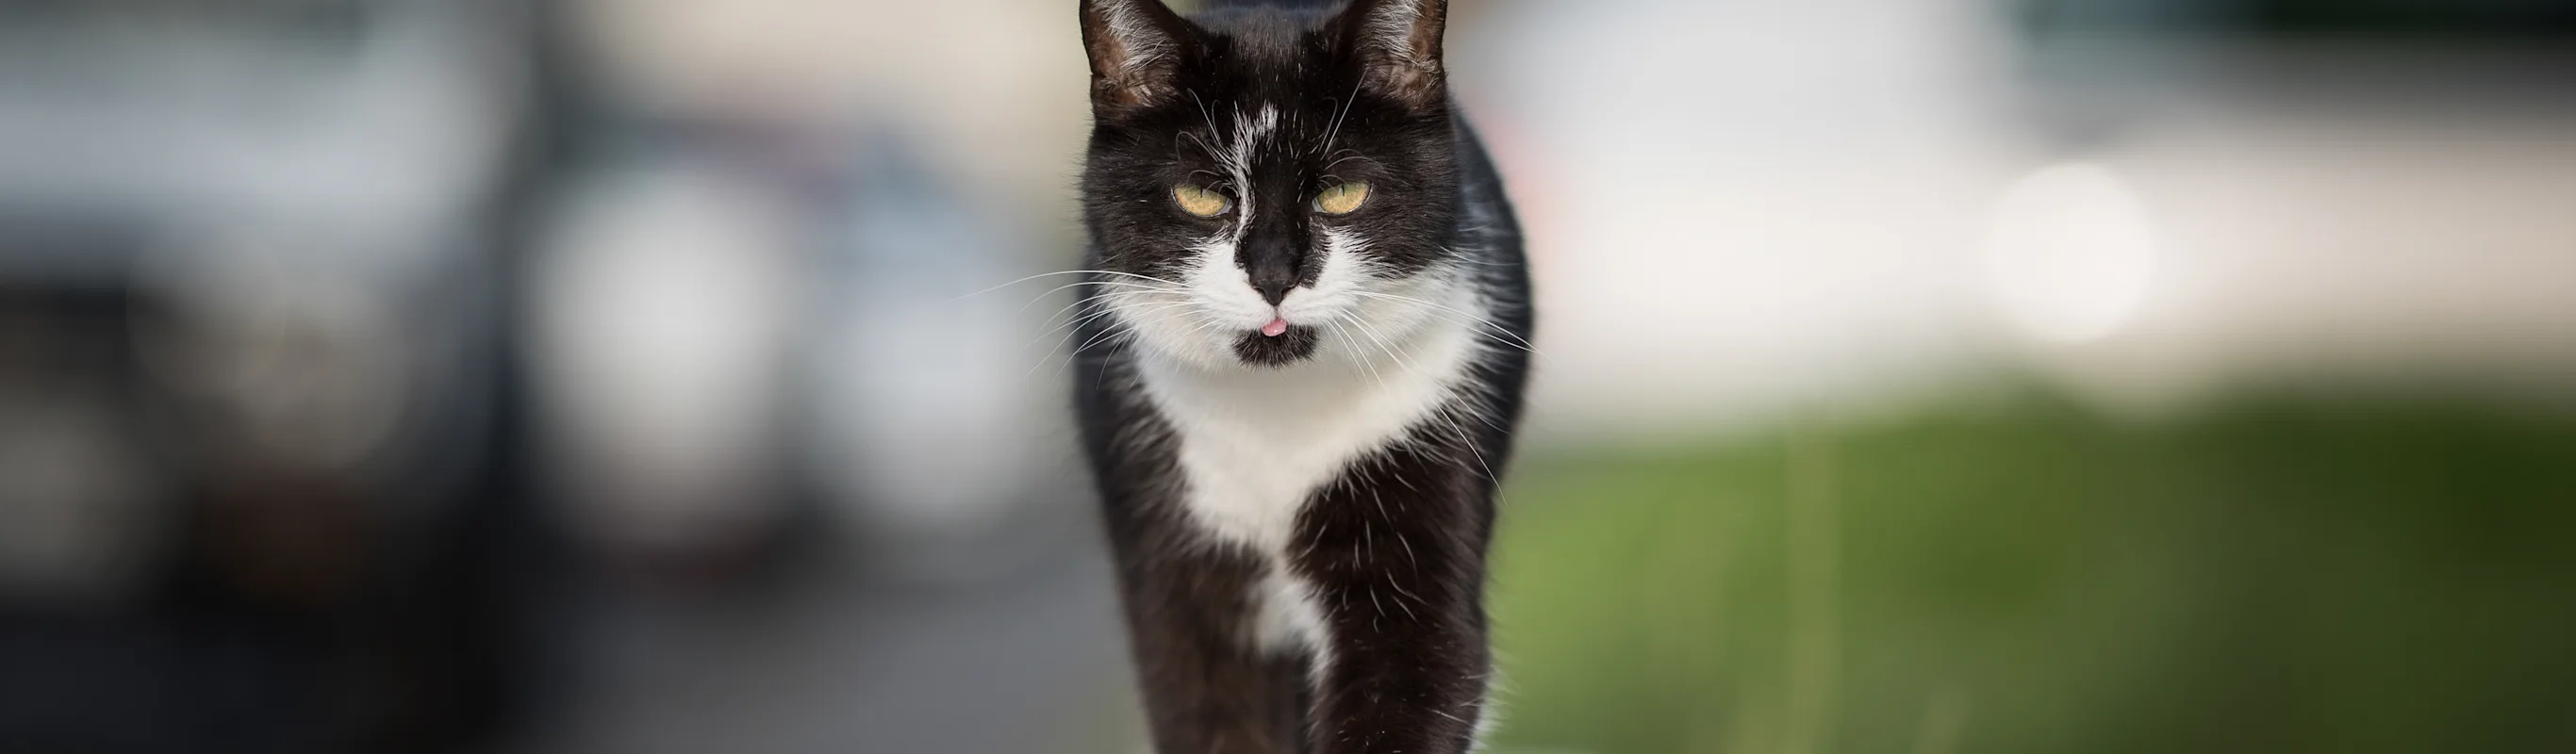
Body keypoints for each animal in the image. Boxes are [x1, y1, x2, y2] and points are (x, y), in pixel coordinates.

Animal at [1066, 0, 1525, 746]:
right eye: (1201, 196)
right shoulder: (1170, 564)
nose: (1274, 273)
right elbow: (1205, 703)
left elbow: (1419, 661)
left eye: (1342, 192)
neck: (1278, 410)